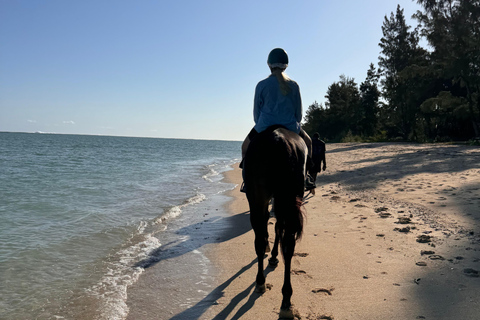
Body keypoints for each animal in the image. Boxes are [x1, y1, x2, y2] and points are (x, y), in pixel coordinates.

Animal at [244, 124, 308, 318]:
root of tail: (279, 139)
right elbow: (278, 228)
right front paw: (272, 256)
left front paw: (271, 256)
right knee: (288, 244)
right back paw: (286, 299)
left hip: (259, 198)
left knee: (261, 239)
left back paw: (261, 282)